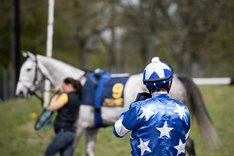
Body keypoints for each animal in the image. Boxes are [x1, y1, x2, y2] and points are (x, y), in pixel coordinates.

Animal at [16, 51, 218, 155]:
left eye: (28, 69)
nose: (19, 92)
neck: (80, 87)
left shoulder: (78, 128)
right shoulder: (91, 129)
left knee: (188, 144)